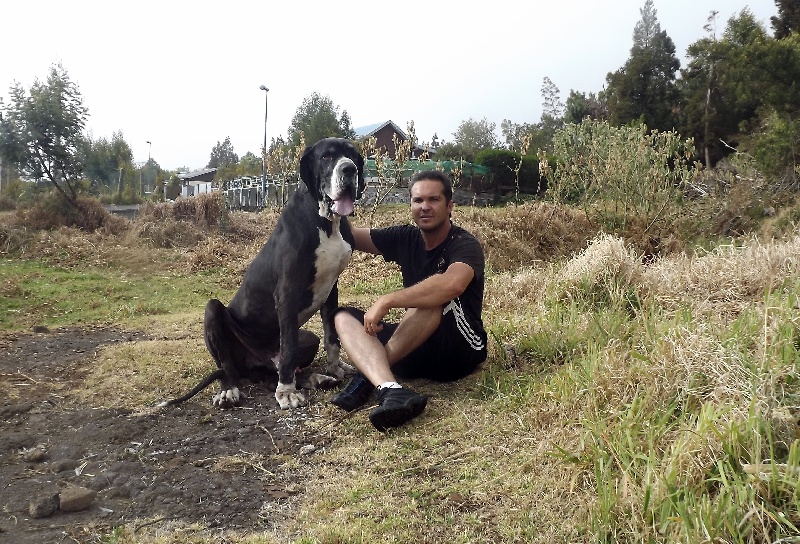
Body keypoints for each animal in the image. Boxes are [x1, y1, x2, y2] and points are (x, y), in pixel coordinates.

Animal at [159, 137, 364, 410]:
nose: (349, 169)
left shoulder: (331, 289)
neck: (326, 223)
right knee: (229, 368)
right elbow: (289, 348)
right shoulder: (287, 292)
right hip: (214, 314)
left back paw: (314, 378)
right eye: (326, 157)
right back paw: (229, 391)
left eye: (352, 155)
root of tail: (253, 364)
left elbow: (332, 337)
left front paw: (335, 368)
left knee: (269, 374)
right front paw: (286, 392)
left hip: (306, 339)